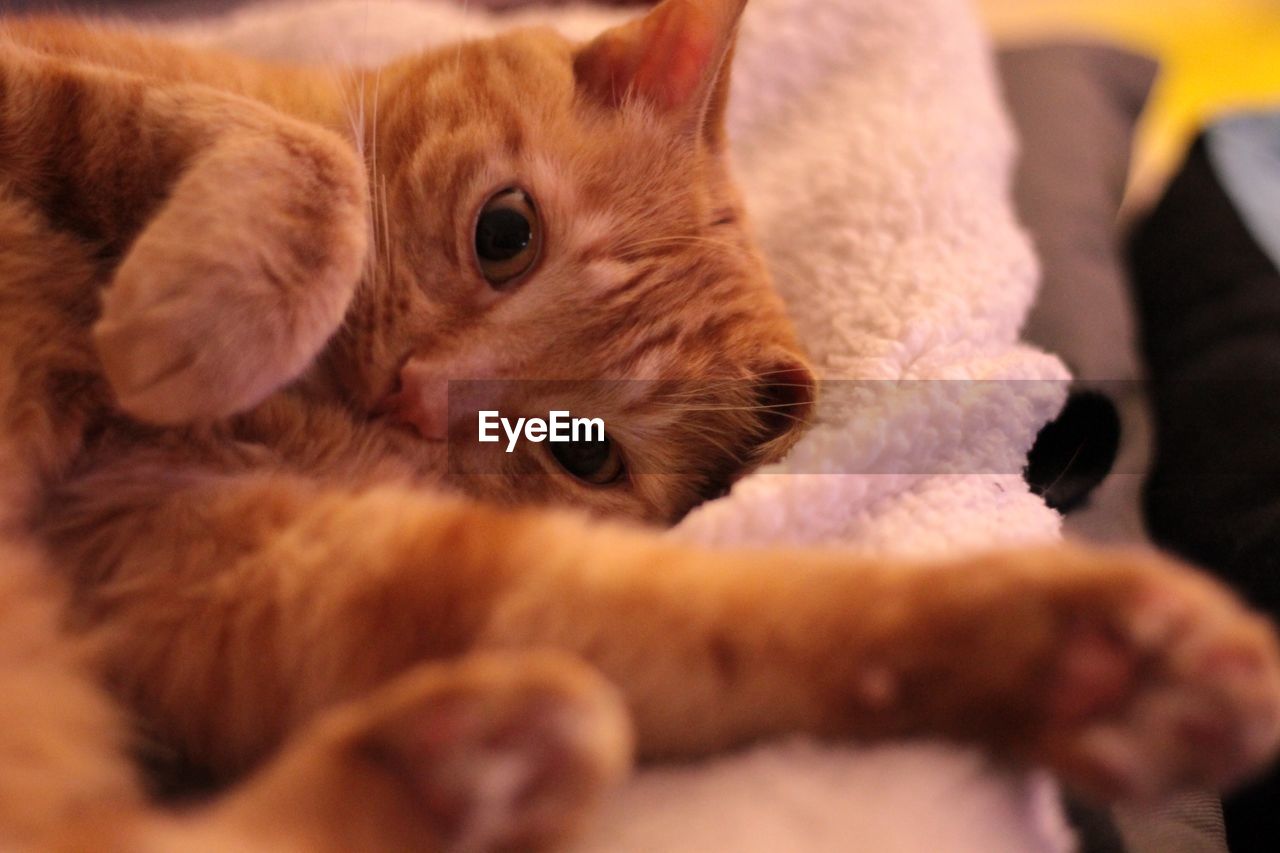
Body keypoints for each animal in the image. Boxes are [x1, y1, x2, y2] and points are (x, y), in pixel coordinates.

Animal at [2, 0, 1280, 845]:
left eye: (581, 451)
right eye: (504, 232)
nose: (419, 395)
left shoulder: (257, 571)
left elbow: (703, 622)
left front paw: (1099, 666)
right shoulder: (42, 73)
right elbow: (291, 151)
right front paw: (207, 317)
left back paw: (480, 759)